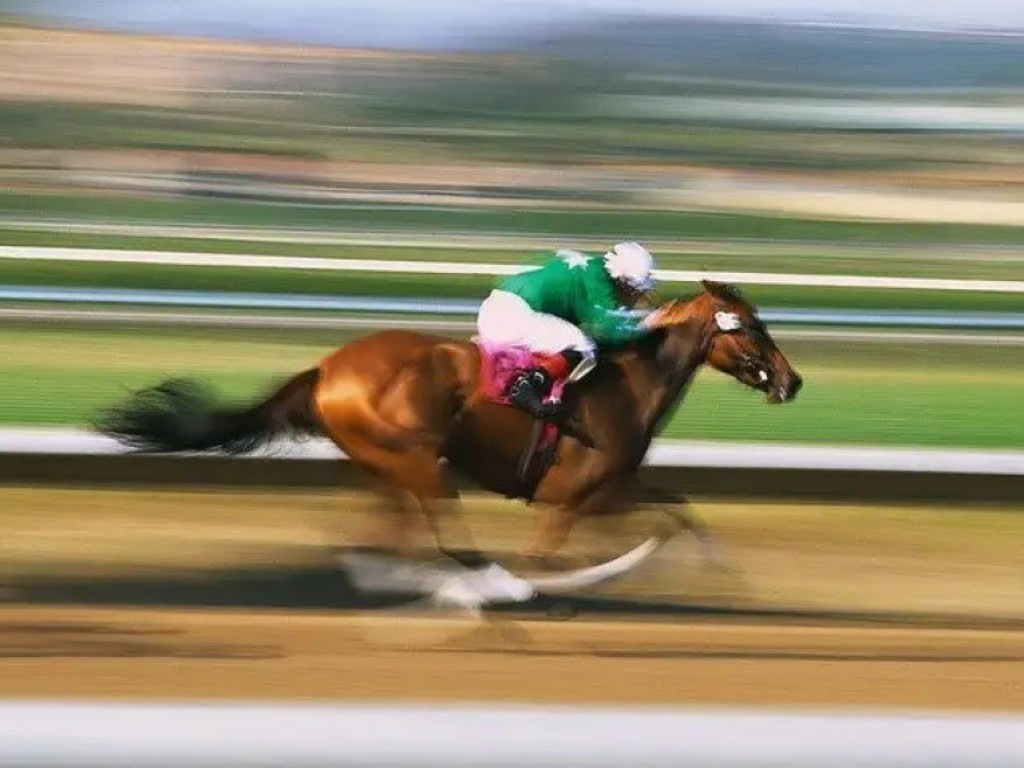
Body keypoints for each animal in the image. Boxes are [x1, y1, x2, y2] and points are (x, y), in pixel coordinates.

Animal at [96, 282, 798, 614]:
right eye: (753, 327)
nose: (791, 382)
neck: (627, 382)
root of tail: (326, 368)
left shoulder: (615, 487)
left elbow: (682, 510)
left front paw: (726, 577)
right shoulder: (574, 497)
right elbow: (554, 555)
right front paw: (558, 585)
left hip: (383, 465)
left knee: (377, 532)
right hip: (418, 461)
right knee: (448, 541)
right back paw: (475, 588)